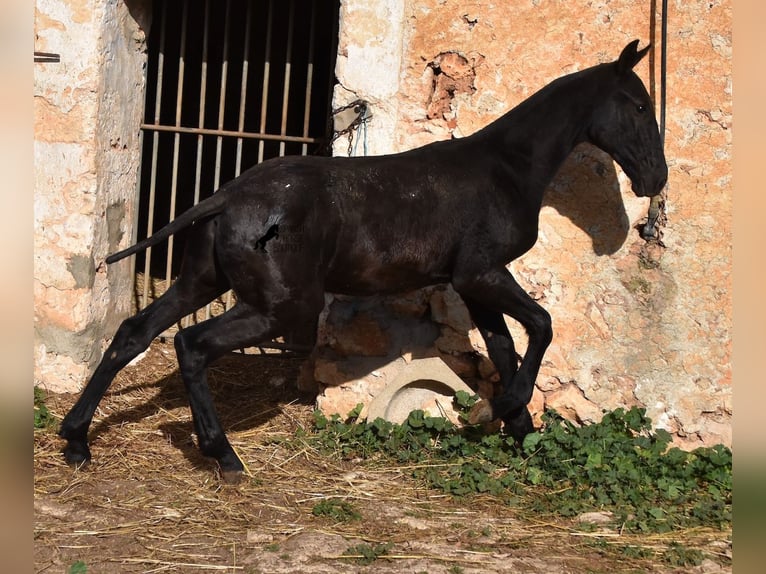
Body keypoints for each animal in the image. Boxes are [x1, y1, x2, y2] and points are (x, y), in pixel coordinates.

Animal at [63, 40, 668, 484]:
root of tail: (227, 198)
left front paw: (517, 429)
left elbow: (505, 347)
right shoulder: (482, 274)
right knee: (190, 345)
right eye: (639, 106)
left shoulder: (474, 285)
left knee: (133, 333)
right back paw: (224, 456)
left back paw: (76, 439)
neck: (506, 168)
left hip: (200, 282)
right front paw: (499, 412)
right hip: (282, 307)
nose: (655, 180)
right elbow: (541, 325)